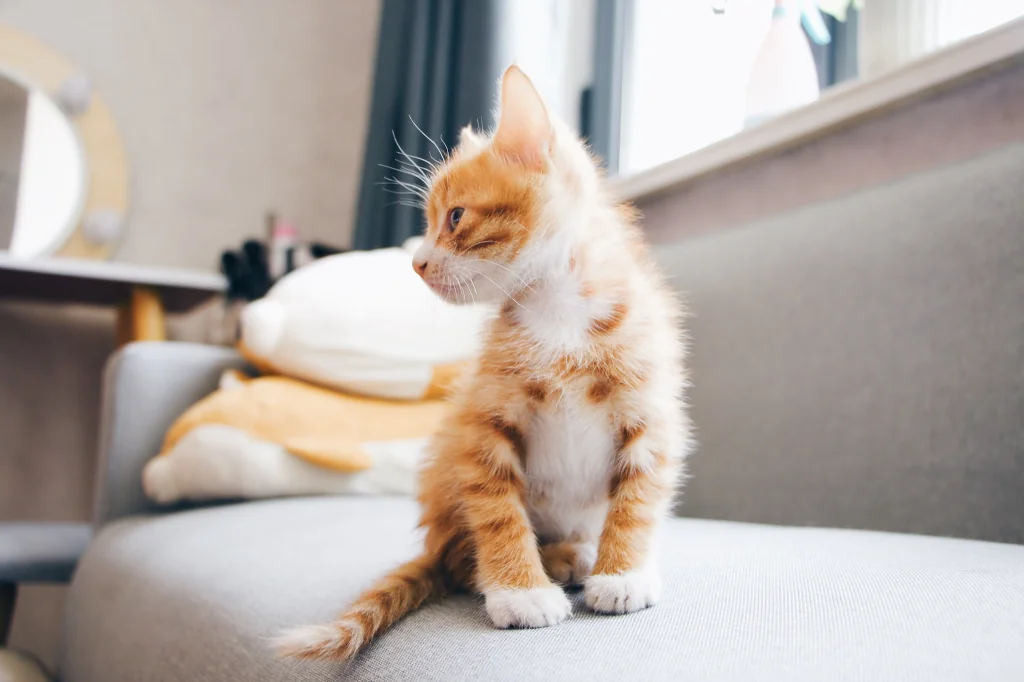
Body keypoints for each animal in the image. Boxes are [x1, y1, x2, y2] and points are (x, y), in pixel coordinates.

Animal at [276, 66, 692, 659]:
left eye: (455, 217)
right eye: (429, 223)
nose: (417, 263)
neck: (558, 309)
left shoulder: (648, 409)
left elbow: (638, 496)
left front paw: (623, 575)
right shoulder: (482, 424)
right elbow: (496, 510)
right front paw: (520, 591)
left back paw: (582, 553)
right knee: (460, 560)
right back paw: (555, 560)